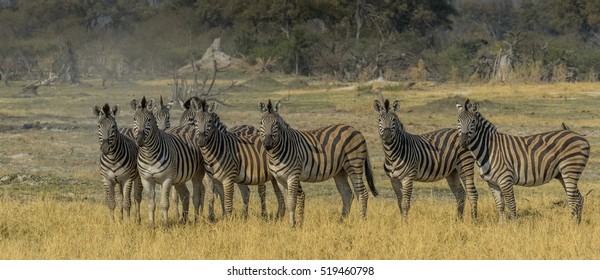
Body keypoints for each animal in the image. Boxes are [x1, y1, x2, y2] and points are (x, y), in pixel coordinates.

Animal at [131, 96, 206, 228]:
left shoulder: (166, 179)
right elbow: (151, 204)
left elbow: (164, 204)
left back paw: (196, 220)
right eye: (135, 119)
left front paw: (165, 225)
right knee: (185, 195)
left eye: (149, 119)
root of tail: (189, 127)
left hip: (198, 173)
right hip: (179, 178)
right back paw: (183, 220)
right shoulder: (146, 179)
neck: (149, 155)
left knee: (196, 195)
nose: (139, 140)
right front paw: (151, 226)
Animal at [454, 99, 592, 222]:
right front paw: (502, 226)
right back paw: (577, 224)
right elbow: (500, 205)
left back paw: (571, 225)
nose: (463, 143)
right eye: (458, 121)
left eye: (472, 121)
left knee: (573, 199)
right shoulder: (492, 183)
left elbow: (511, 205)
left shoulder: (506, 180)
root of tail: (578, 135)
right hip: (562, 174)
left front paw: (514, 227)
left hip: (570, 169)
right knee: (579, 198)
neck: (489, 148)